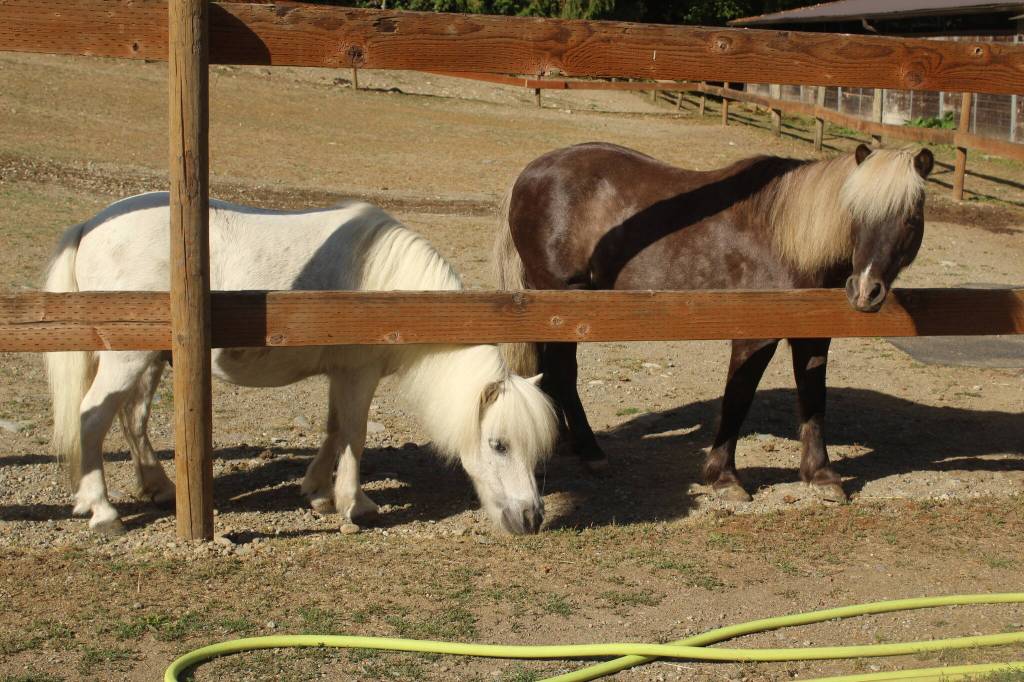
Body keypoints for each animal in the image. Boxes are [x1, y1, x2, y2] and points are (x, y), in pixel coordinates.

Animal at [45, 193, 557, 535]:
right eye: (498, 445)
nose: (532, 518)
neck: (385, 287)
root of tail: (91, 224)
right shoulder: (359, 374)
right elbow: (354, 434)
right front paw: (355, 505)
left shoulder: (343, 373)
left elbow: (334, 431)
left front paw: (316, 492)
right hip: (125, 359)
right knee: (92, 418)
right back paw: (103, 511)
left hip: (149, 357)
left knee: (133, 419)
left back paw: (159, 487)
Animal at [493, 142, 933, 502]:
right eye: (855, 212)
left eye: (911, 218)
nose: (865, 290)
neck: (784, 237)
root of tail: (530, 173)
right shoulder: (754, 336)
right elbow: (737, 400)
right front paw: (724, 478)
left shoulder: (812, 334)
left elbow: (813, 399)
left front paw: (821, 476)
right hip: (564, 300)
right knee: (563, 372)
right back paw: (590, 451)